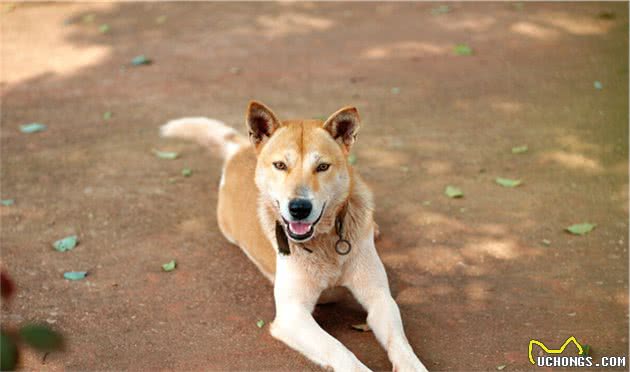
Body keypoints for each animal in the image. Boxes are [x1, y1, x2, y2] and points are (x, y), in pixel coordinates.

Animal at [160, 101, 432, 372]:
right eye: (280, 165)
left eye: (322, 167)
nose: (299, 208)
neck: (324, 241)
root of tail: (240, 149)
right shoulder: (292, 315)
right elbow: (339, 350)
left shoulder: (380, 298)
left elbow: (400, 343)